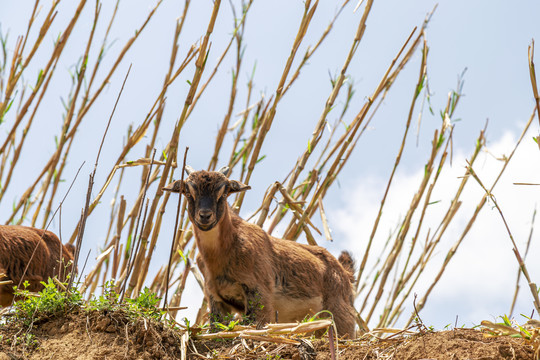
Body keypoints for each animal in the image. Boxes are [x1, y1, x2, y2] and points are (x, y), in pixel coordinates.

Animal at [165, 166, 358, 338]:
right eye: (188, 192)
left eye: (224, 192)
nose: (205, 216)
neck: (224, 251)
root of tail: (344, 273)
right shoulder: (215, 298)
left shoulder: (259, 293)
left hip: (338, 313)